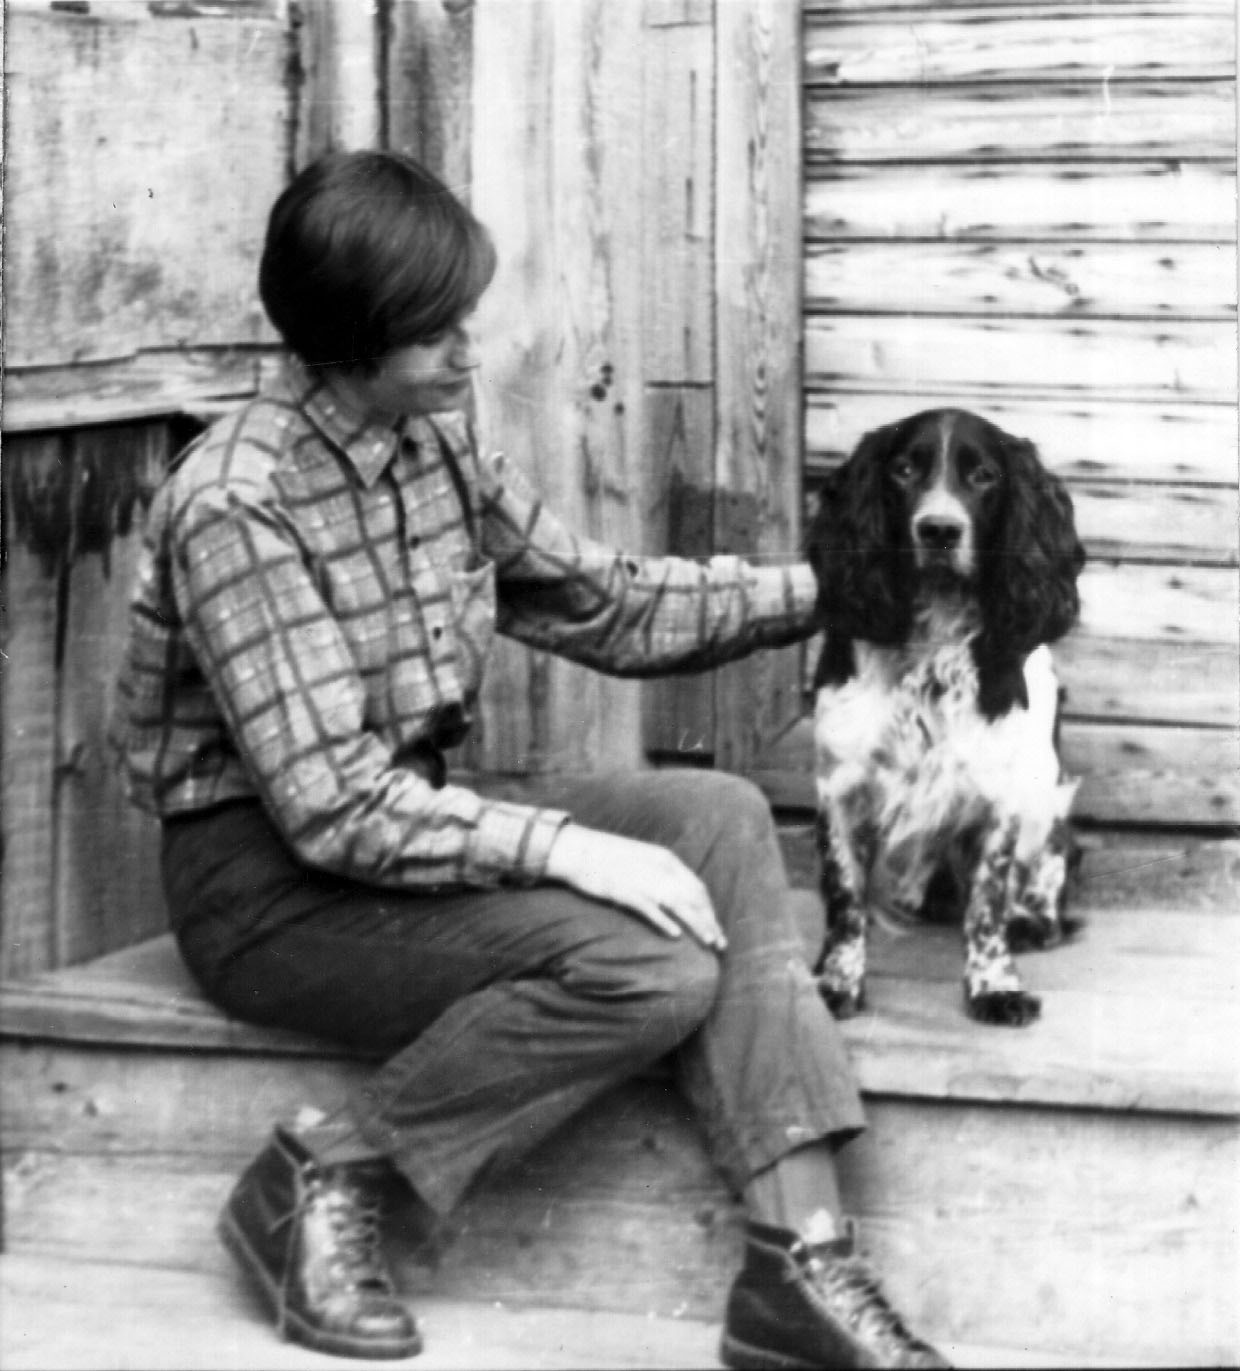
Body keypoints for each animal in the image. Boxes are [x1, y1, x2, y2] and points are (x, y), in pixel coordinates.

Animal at [806, 408, 1086, 1026]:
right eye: (904, 470)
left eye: (984, 476)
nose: (939, 530)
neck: (932, 639)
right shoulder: (841, 784)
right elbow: (844, 898)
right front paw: (836, 982)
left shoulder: (1000, 790)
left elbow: (986, 902)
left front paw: (994, 986)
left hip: (1044, 787)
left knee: (1054, 859)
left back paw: (1034, 918)